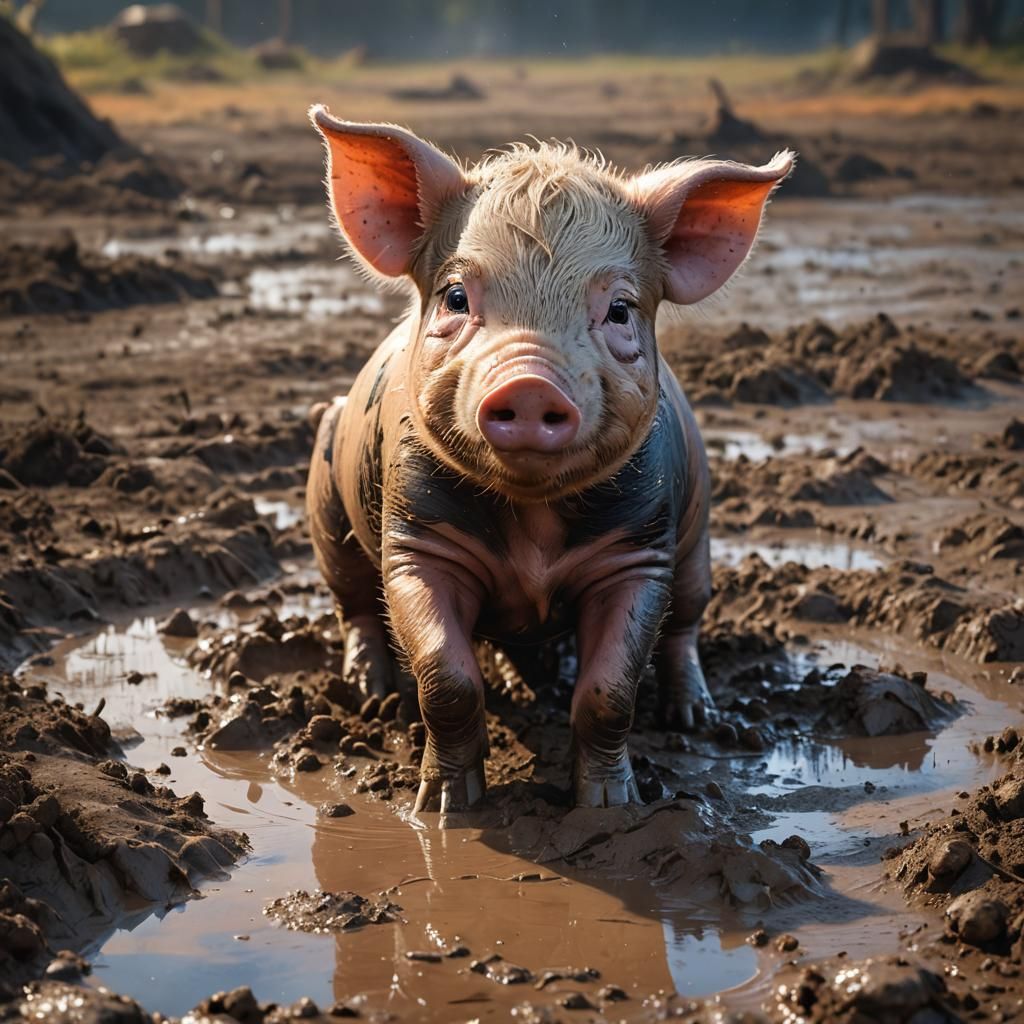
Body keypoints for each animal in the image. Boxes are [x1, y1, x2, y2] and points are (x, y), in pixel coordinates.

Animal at [305, 104, 793, 814]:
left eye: (619, 309)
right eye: (455, 297)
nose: (530, 384)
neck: (531, 523)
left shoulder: (639, 550)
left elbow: (609, 692)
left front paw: (609, 807)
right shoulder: (416, 539)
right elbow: (446, 678)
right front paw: (444, 809)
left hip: (698, 532)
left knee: (685, 626)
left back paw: (696, 719)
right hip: (327, 508)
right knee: (357, 610)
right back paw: (375, 698)